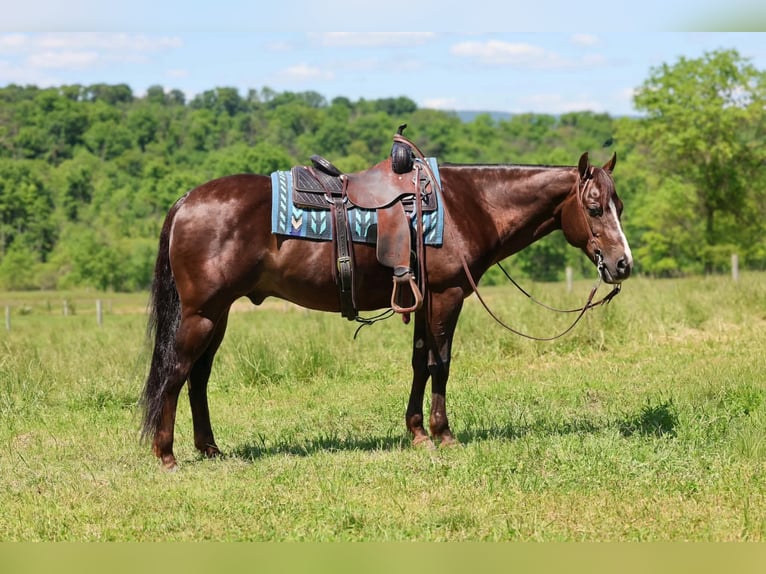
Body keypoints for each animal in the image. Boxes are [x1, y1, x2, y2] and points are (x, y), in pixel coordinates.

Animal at [141, 145, 633, 470]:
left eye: (620, 205)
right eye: (594, 207)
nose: (623, 264)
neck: (469, 204)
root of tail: (186, 201)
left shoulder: (424, 299)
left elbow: (419, 363)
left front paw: (416, 432)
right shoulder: (448, 296)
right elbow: (440, 364)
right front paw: (443, 434)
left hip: (218, 314)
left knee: (198, 378)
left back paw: (209, 449)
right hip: (202, 314)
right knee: (176, 373)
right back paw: (166, 455)